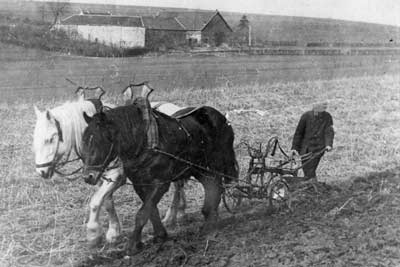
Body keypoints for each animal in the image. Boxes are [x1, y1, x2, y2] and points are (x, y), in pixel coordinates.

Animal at [32, 93, 186, 247]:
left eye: (50, 139)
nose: (41, 171)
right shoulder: (97, 175)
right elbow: (106, 202)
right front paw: (114, 232)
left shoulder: (117, 177)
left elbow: (95, 201)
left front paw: (93, 233)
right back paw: (181, 210)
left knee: (178, 186)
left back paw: (172, 216)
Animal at [81, 97, 238, 254]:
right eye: (84, 142)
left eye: (101, 141)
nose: (88, 177)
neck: (145, 141)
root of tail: (221, 116)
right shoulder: (140, 184)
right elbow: (151, 210)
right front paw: (160, 235)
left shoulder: (160, 183)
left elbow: (142, 213)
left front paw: (133, 244)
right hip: (200, 169)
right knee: (212, 185)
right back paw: (209, 219)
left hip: (219, 162)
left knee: (221, 184)